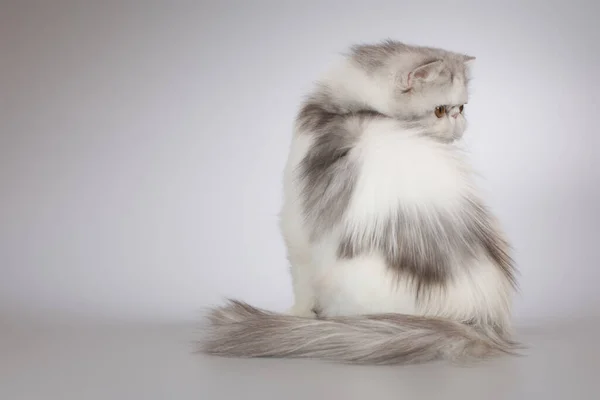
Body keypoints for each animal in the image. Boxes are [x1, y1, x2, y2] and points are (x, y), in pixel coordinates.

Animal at [199, 40, 516, 366]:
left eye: (461, 107)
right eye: (441, 110)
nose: (460, 121)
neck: (354, 107)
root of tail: (476, 319)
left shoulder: (296, 223)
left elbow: (300, 284)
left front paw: (298, 316)